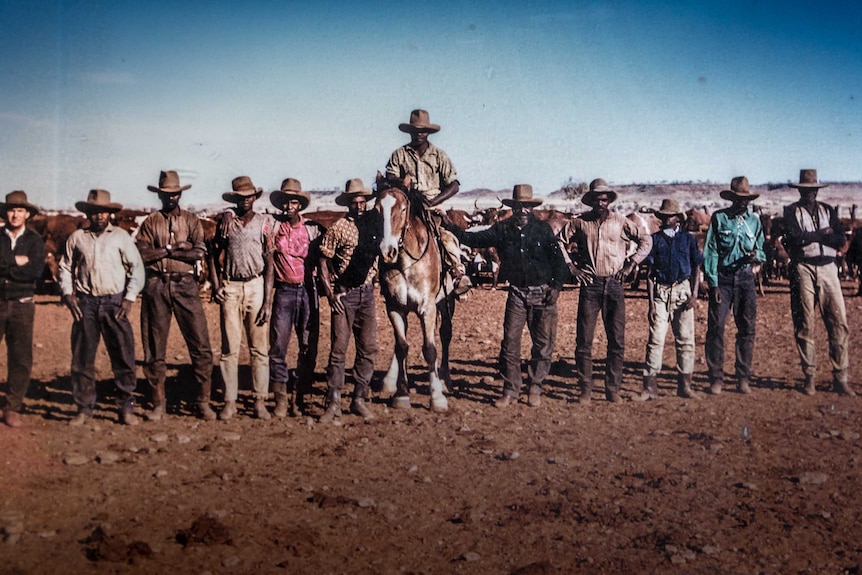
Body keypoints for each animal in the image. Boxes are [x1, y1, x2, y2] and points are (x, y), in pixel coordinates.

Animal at [380, 182, 460, 412]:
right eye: (377, 209)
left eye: (403, 209)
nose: (388, 251)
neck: (406, 263)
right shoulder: (394, 307)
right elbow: (401, 347)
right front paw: (401, 393)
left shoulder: (428, 307)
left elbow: (430, 349)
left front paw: (437, 397)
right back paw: (390, 380)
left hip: (446, 302)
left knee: (445, 334)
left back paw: (445, 380)